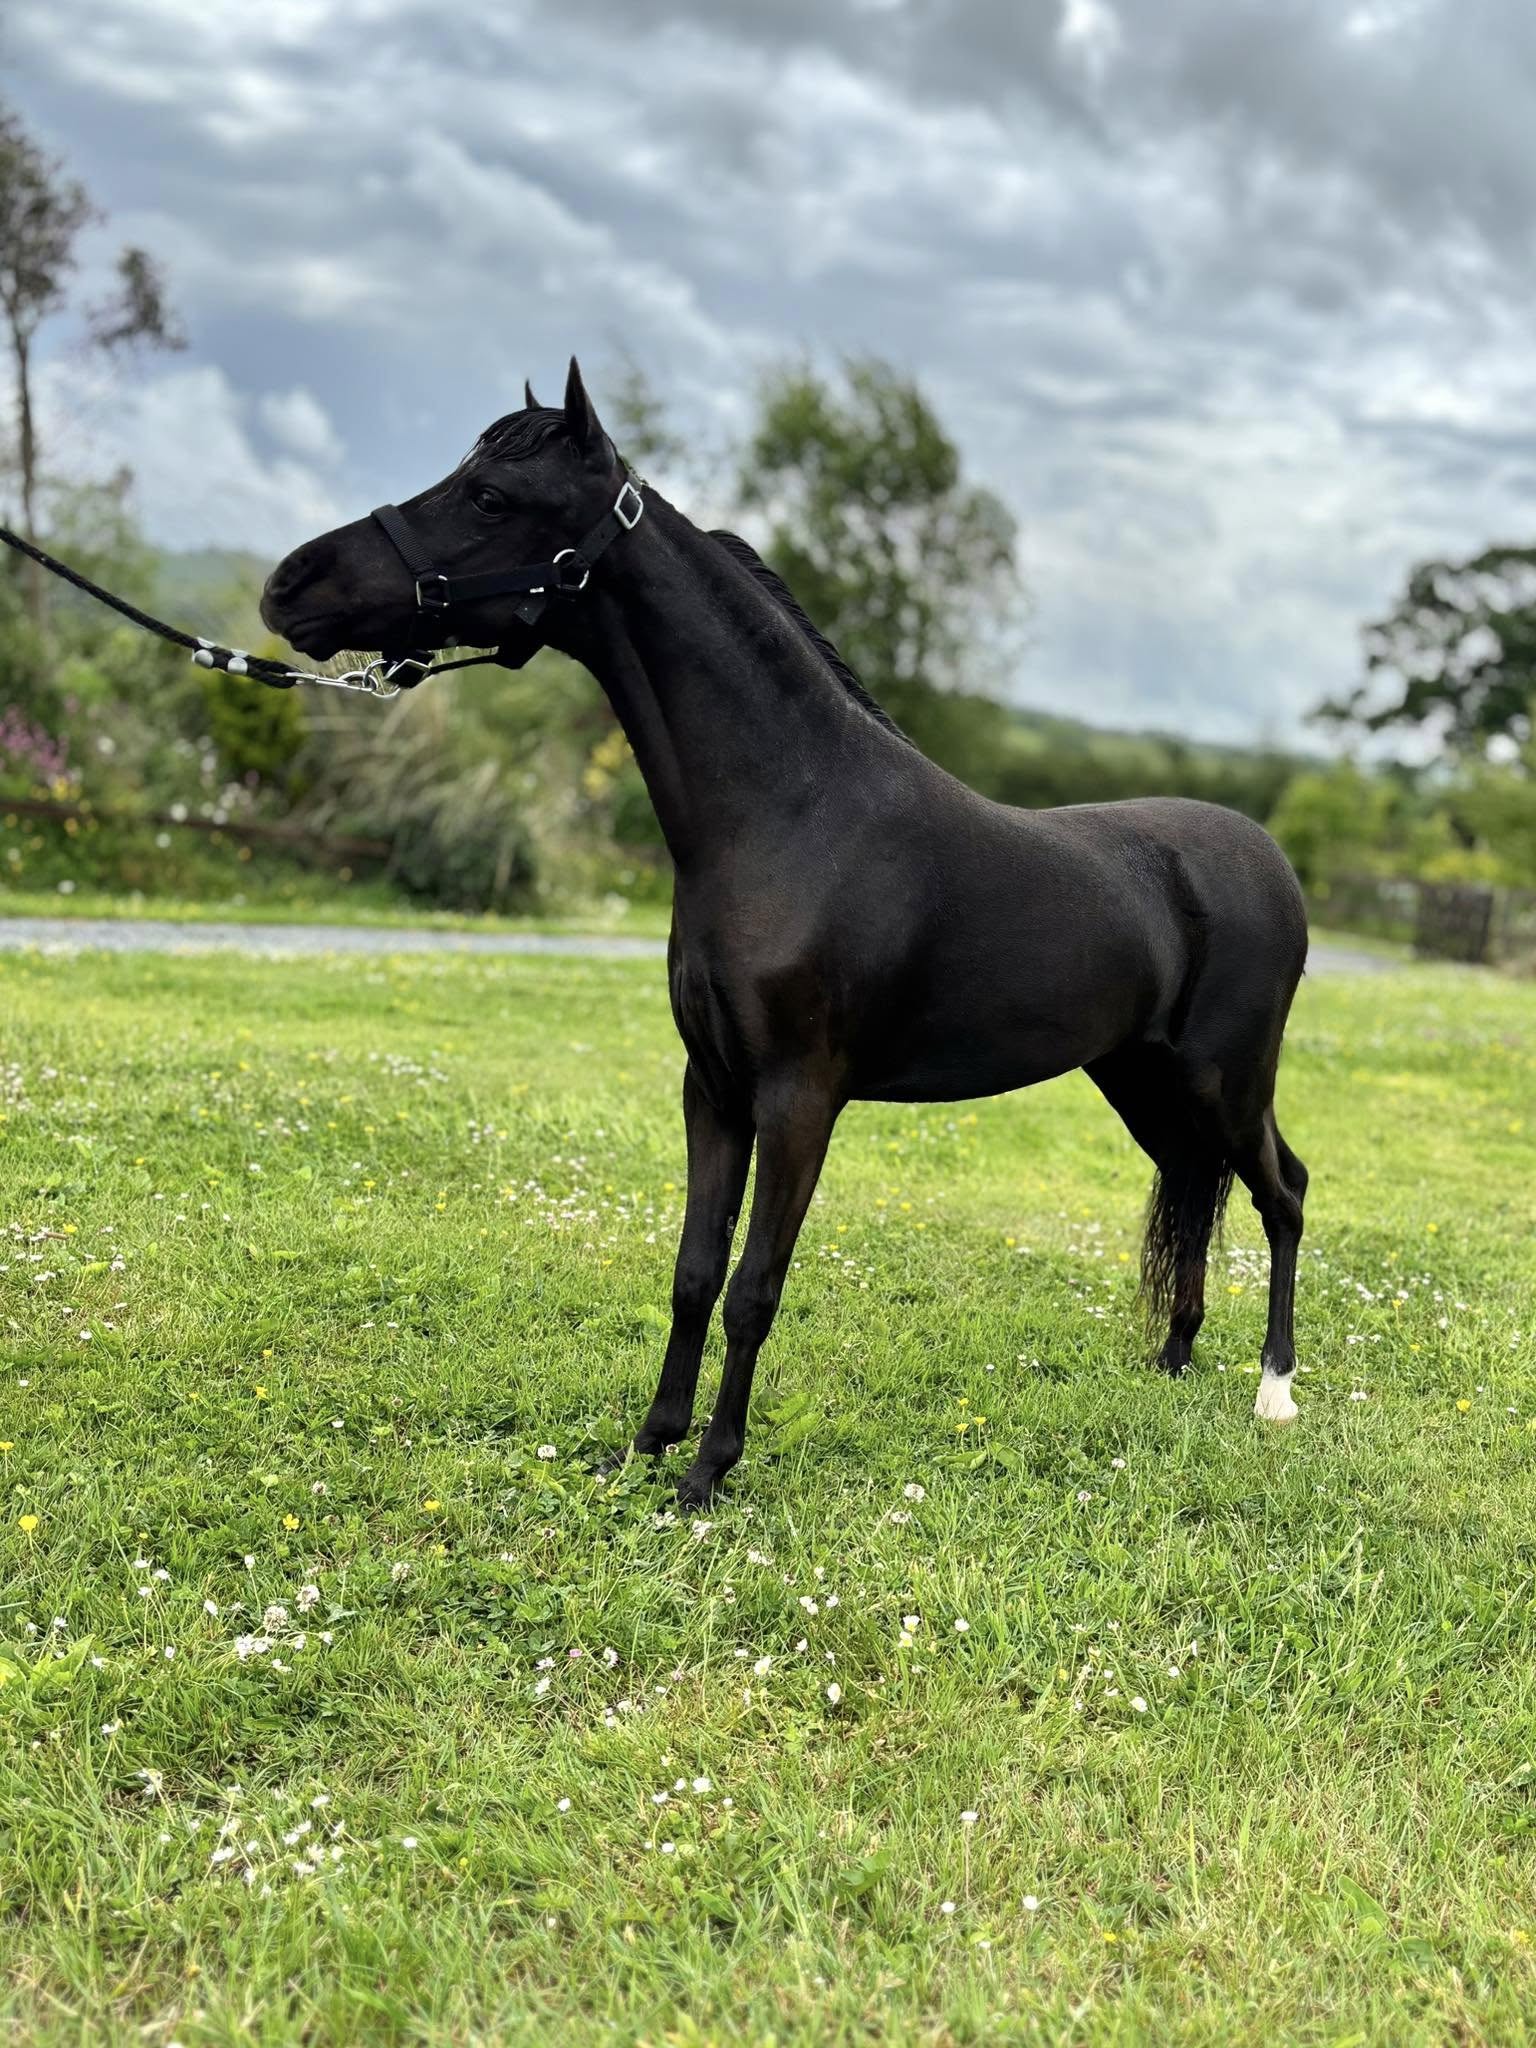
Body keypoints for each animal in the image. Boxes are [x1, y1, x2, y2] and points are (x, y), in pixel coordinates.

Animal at [261, 358, 1311, 1508]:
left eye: (491, 497)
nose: (290, 585)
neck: (792, 815)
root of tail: (1271, 861)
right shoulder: (712, 1087)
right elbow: (692, 1271)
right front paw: (648, 1444)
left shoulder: (800, 1100)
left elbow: (753, 1288)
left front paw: (708, 1474)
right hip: (1143, 1082)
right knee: (1198, 1188)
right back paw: (1174, 1359)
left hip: (1225, 1081)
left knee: (1283, 1193)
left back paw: (1274, 1393)